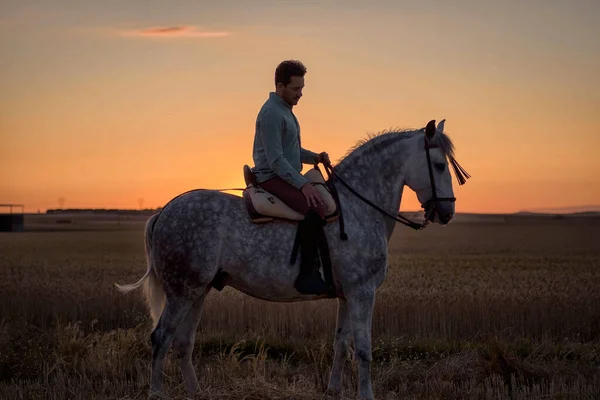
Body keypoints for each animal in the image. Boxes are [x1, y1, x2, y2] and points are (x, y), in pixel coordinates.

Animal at [116, 119, 468, 400]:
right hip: (181, 293)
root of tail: (164, 212)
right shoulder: (362, 293)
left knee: (183, 342)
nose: (448, 212)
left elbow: (342, 344)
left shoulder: (347, 295)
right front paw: (366, 395)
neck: (358, 207)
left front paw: (333, 390)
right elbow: (364, 349)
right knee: (162, 338)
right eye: (439, 165)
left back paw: (195, 392)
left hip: (197, 292)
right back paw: (156, 393)